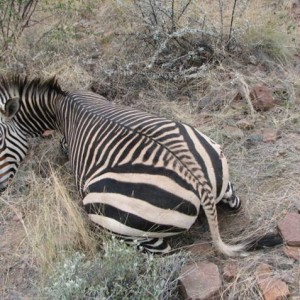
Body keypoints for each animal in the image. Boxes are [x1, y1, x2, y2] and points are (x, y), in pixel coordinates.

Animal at [0, 75, 244, 255]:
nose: (2, 190)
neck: (63, 101)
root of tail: (199, 184)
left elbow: (63, 145)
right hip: (220, 174)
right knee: (235, 202)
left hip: (110, 217)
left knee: (162, 252)